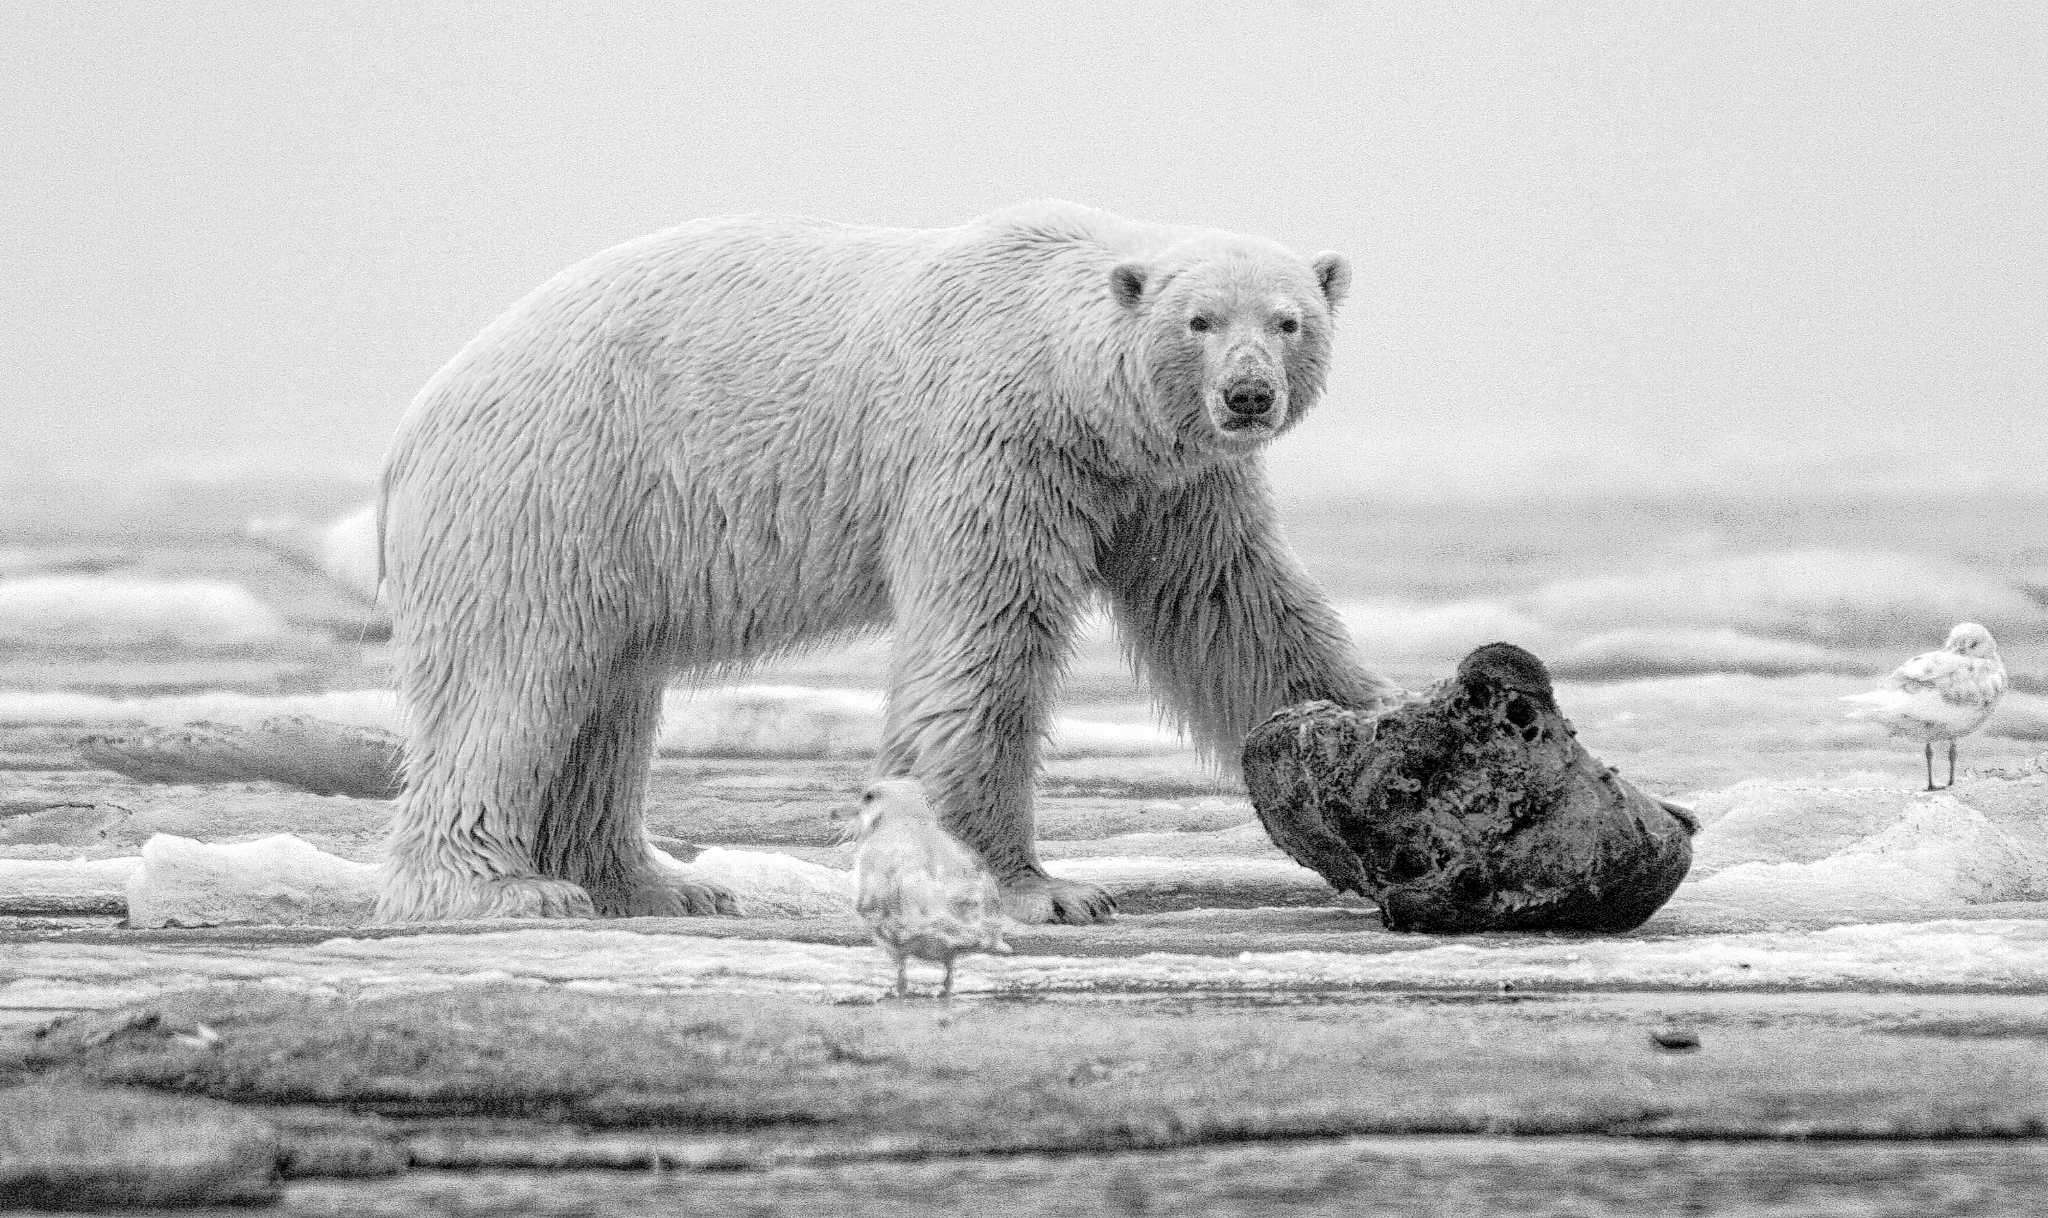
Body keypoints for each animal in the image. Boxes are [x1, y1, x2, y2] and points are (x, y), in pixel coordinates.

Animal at [376, 200, 1400, 925]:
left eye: (1289, 320)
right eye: (1199, 320)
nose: (1248, 395)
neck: (1065, 381)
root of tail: (422, 413)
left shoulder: (1168, 485)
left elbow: (1236, 607)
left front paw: (1372, 730)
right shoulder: (996, 447)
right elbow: (984, 647)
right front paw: (1041, 888)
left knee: (607, 700)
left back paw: (659, 884)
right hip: (553, 494)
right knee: (512, 684)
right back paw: (503, 888)